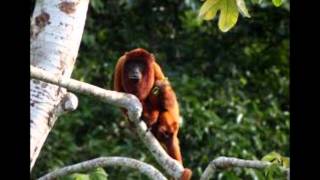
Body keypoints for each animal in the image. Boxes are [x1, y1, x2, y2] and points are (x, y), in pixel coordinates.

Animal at [113, 48, 191, 180]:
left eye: (140, 64)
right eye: (132, 64)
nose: (135, 70)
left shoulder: (155, 67)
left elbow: (169, 100)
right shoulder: (120, 64)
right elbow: (119, 92)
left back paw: (162, 128)